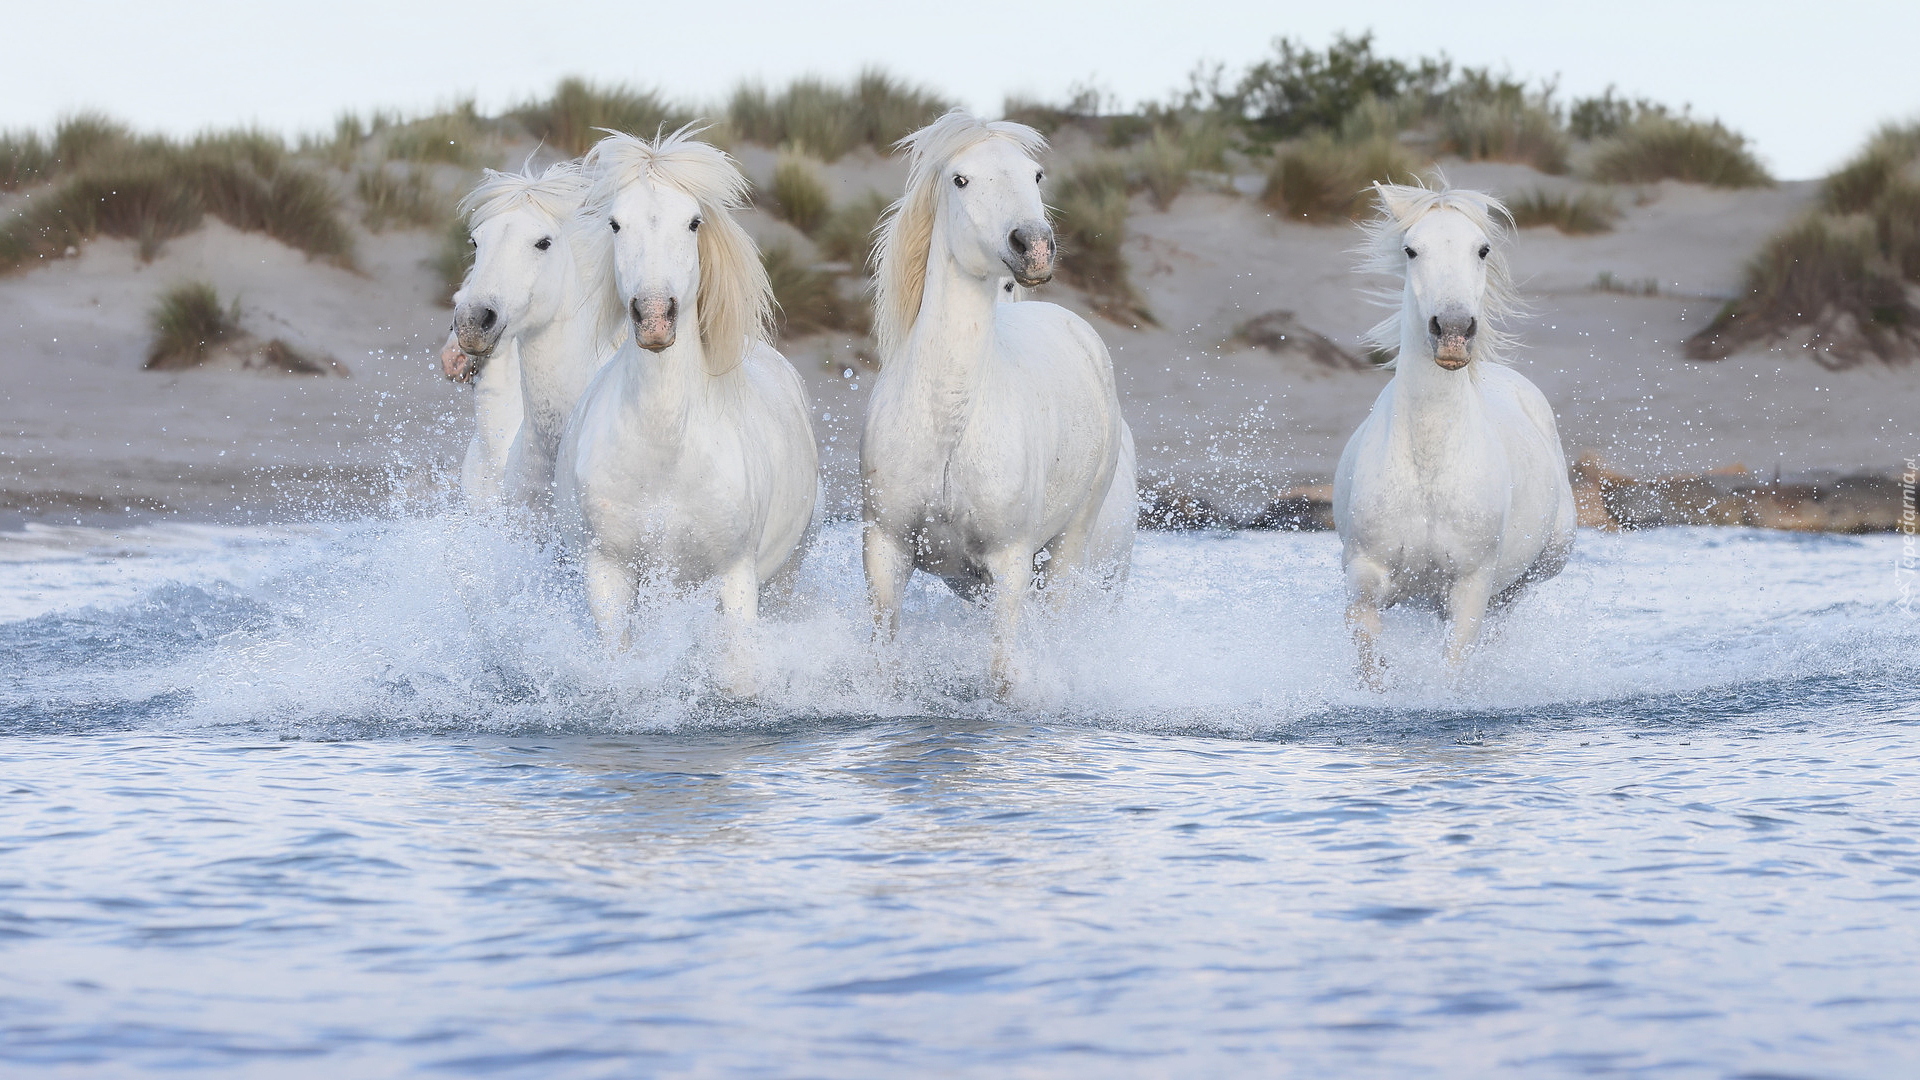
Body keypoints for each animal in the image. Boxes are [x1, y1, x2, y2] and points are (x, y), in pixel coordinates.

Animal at [560, 127, 821, 664]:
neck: (665, 452)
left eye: (693, 222)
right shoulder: (608, 573)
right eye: (615, 224)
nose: (655, 318)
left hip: (784, 578)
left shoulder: (734, 576)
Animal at [864, 107, 1128, 680]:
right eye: (960, 179)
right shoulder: (885, 548)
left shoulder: (1010, 561)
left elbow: (1004, 675)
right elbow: (883, 663)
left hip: (1071, 543)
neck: (948, 422)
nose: (1034, 248)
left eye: (1037, 176)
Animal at [1336, 182, 1574, 680]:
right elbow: (1369, 657)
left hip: (1546, 561)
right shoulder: (1365, 574)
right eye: (1411, 249)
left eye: (1482, 249)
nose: (1453, 331)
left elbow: (1453, 670)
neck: (1430, 461)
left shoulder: (1470, 587)